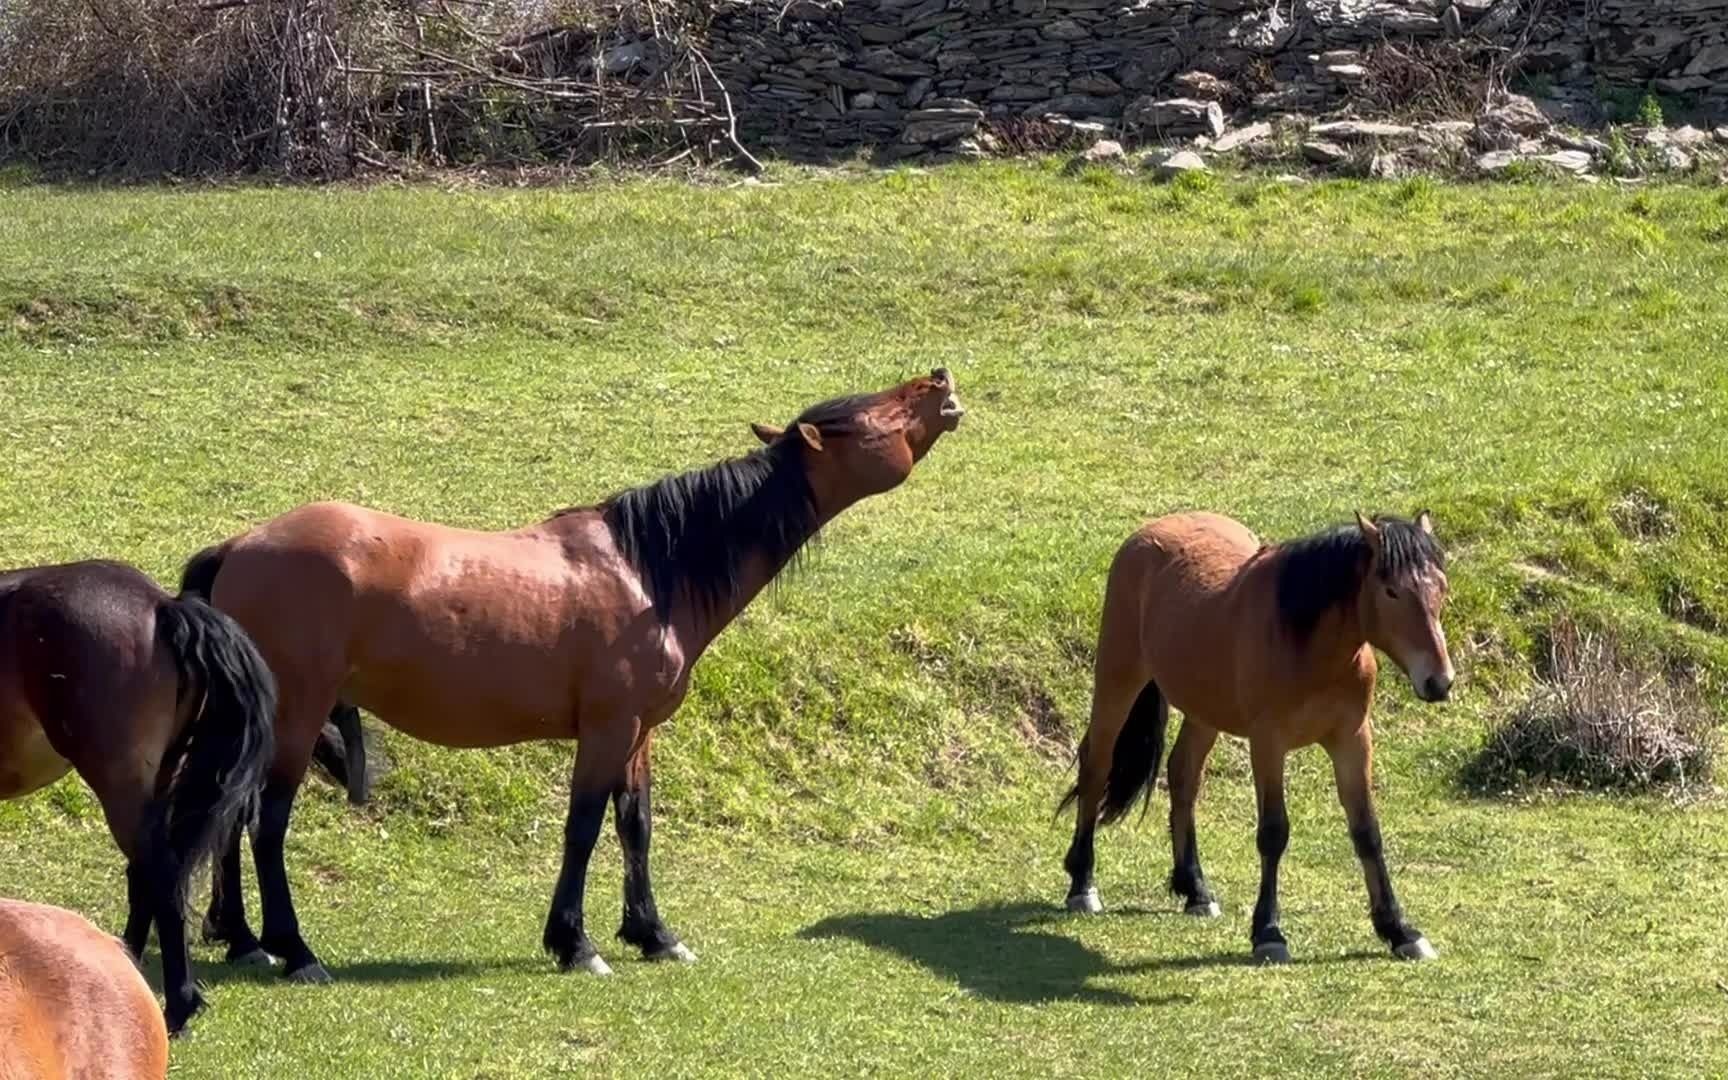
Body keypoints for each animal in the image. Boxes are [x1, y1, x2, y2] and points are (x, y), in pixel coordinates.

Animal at [189, 366, 974, 981]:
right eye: (869, 414)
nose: (939, 380)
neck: (648, 570)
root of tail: (238, 545)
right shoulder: (606, 729)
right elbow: (584, 829)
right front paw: (576, 943)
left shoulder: (639, 734)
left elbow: (637, 826)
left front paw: (654, 934)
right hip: (296, 718)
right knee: (265, 825)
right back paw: (295, 951)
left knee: (232, 817)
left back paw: (244, 941)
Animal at [1057, 508, 1451, 967]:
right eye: (1391, 591)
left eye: (1441, 586)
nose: (1440, 681)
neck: (1307, 643)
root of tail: (1150, 530)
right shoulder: (1268, 743)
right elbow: (1273, 833)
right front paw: (1268, 933)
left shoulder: (1353, 740)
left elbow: (1367, 832)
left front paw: (1399, 929)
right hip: (1118, 681)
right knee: (1096, 766)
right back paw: (1082, 884)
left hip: (1204, 710)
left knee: (1183, 775)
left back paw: (1195, 890)